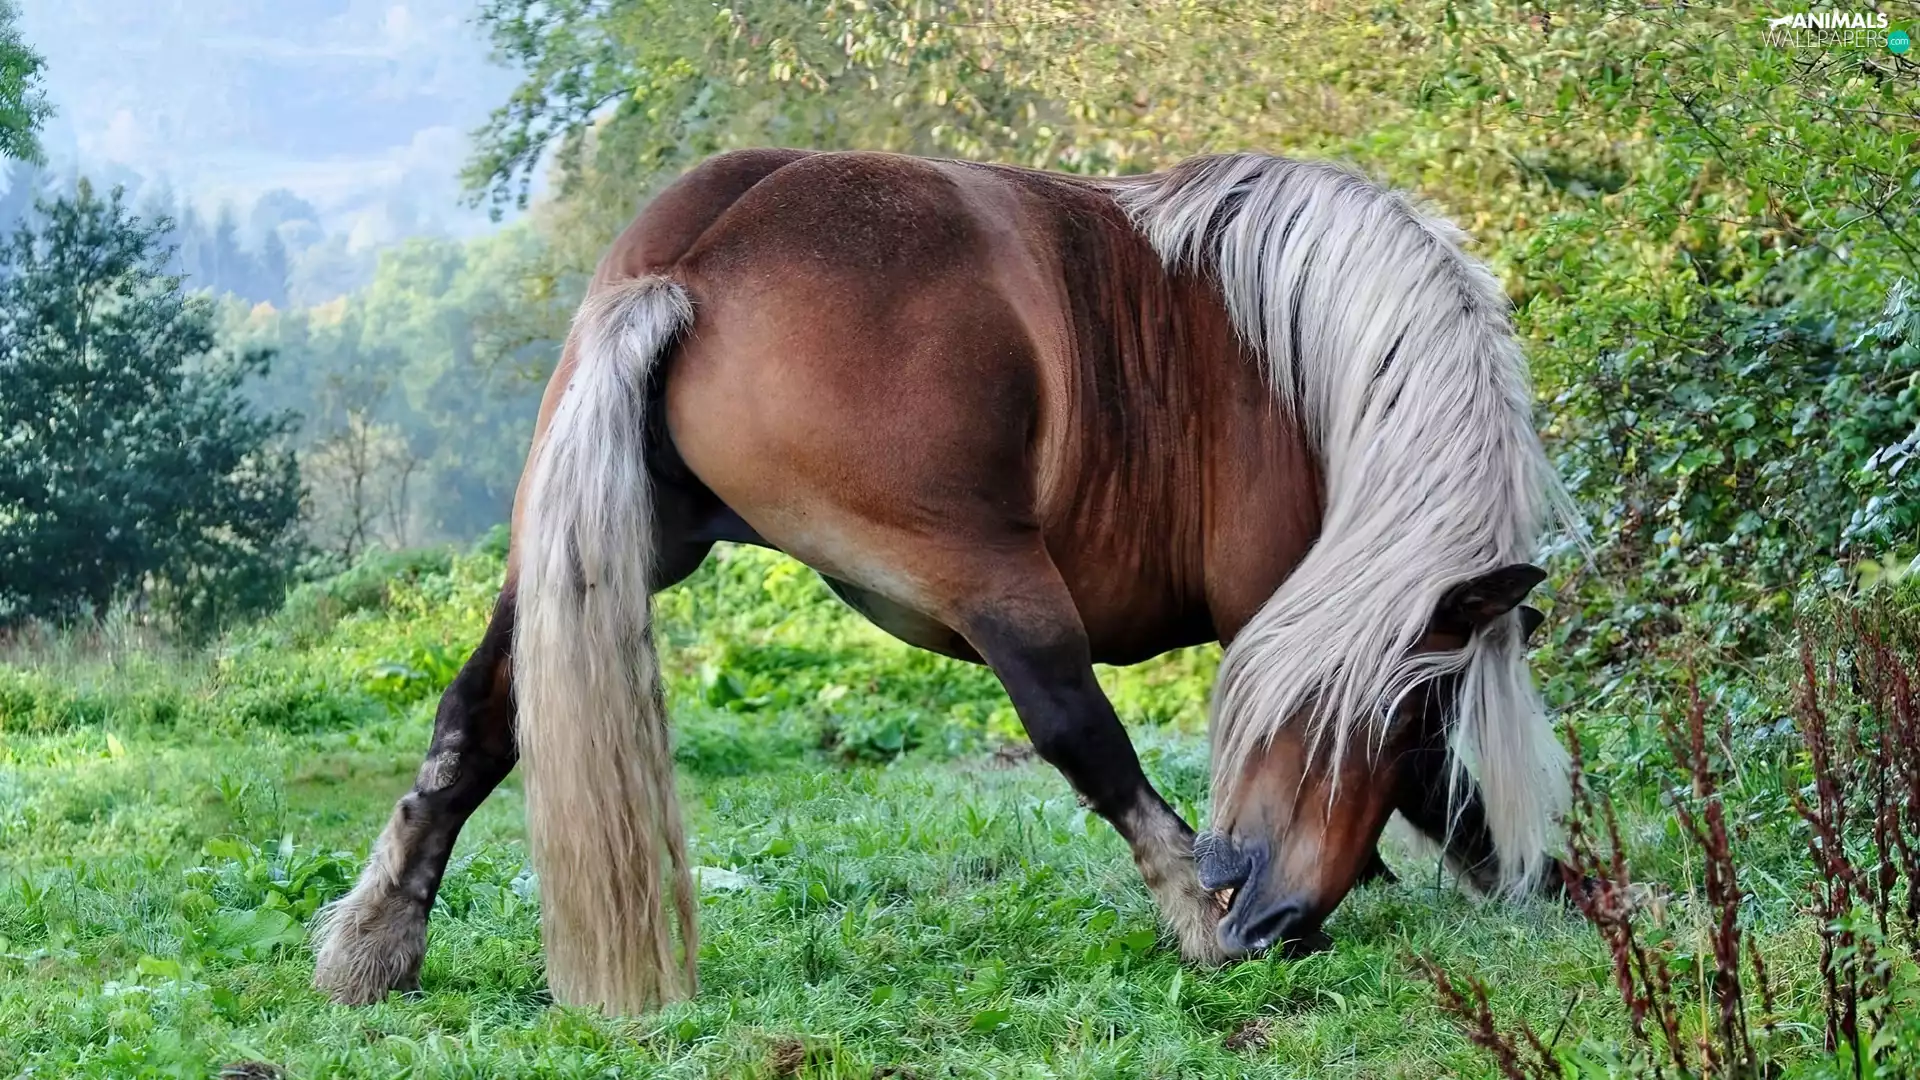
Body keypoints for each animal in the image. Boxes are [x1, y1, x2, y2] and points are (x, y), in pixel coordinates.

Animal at [310, 148, 1572, 1015]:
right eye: (1394, 708)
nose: (1269, 920)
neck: (1301, 360)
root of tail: (698, 256)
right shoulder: (1294, 618)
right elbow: (1433, 781)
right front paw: (1535, 876)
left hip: (597, 554)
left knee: (477, 721)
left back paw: (374, 942)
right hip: (989, 573)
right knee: (1080, 734)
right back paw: (1192, 920)